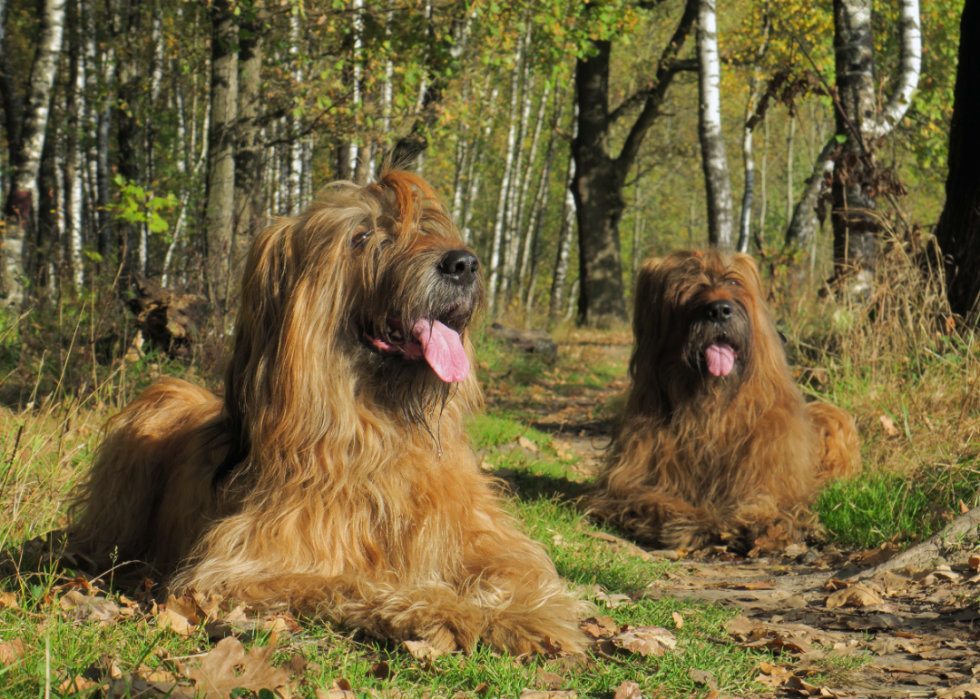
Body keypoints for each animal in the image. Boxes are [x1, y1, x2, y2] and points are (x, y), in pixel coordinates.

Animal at [71, 170, 588, 656]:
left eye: (426, 227)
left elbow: (518, 566)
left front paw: (525, 614)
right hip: (156, 405)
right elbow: (356, 580)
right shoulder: (240, 567)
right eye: (360, 237)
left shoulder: (485, 536)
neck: (382, 430)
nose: (463, 264)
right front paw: (441, 607)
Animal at [584, 252, 852, 552]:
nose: (719, 311)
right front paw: (692, 521)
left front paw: (767, 521)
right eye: (685, 285)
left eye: (733, 281)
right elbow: (648, 497)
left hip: (830, 416)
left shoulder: (773, 471)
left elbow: (767, 496)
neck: (713, 409)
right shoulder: (625, 481)